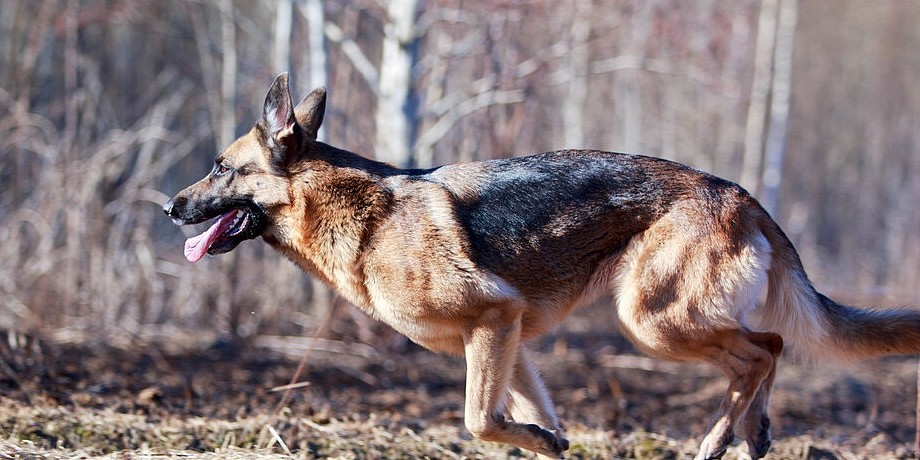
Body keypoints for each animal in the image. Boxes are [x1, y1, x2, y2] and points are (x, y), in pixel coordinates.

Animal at [164, 73, 920, 458]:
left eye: (221, 168)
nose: (170, 208)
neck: (365, 216)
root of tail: (743, 195)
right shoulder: (511, 339)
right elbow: (522, 415)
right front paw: (548, 441)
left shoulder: (494, 321)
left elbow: (480, 421)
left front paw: (534, 439)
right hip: (665, 322)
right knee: (763, 352)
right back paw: (742, 435)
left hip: (651, 322)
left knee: (765, 349)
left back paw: (729, 436)